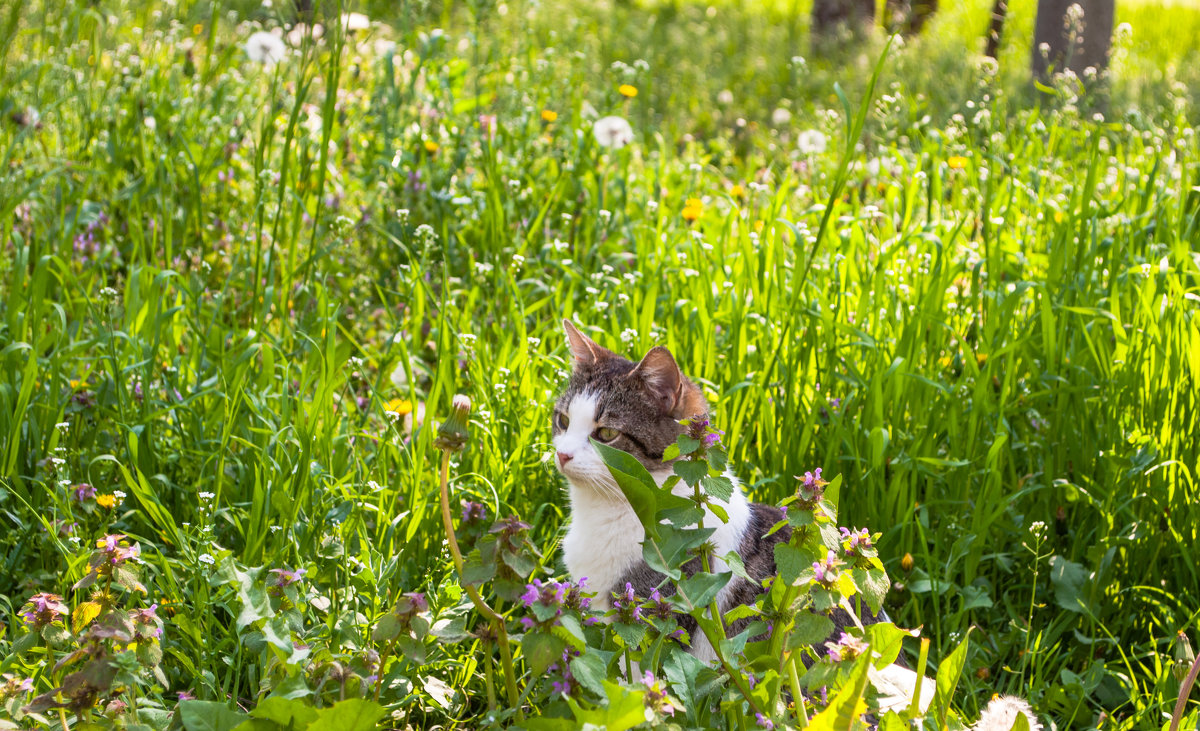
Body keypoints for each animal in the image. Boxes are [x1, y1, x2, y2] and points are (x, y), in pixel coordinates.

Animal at [552, 321, 1041, 729]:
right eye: (563, 420)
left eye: (606, 435)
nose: (562, 454)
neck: (611, 510)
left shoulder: (654, 619)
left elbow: (635, 688)